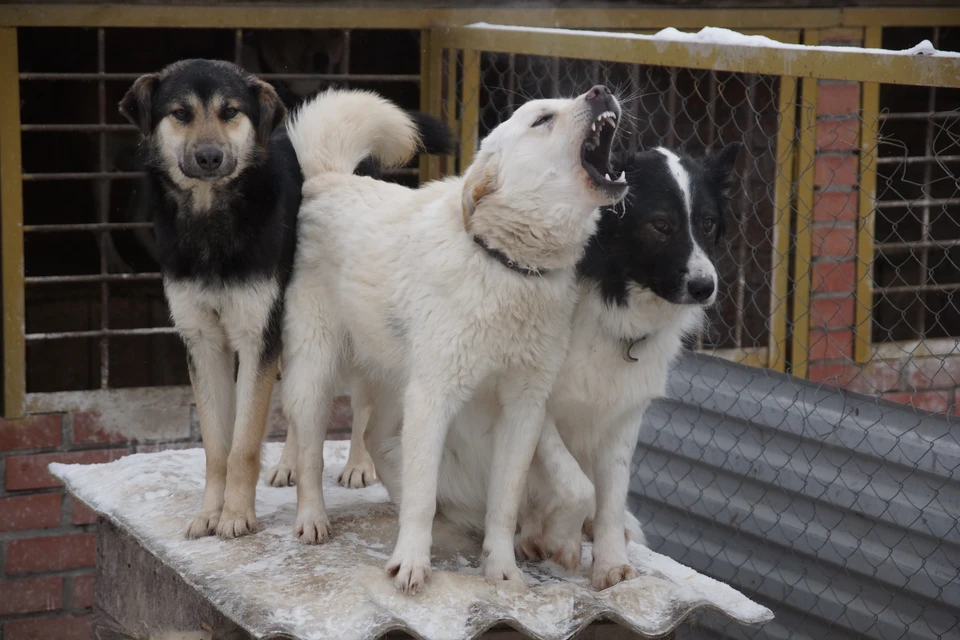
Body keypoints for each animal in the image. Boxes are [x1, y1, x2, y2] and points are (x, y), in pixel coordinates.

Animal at [282, 87, 628, 592]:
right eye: (543, 119)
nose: (601, 91)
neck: (508, 268)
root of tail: (331, 180)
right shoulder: (434, 398)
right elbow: (424, 492)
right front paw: (411, 563)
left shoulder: (524, 408)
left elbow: (506, 500)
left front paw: (502, 569)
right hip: (315, 374)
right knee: (310, 454)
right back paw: (311, 520)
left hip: (393, 384)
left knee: (374, 437)